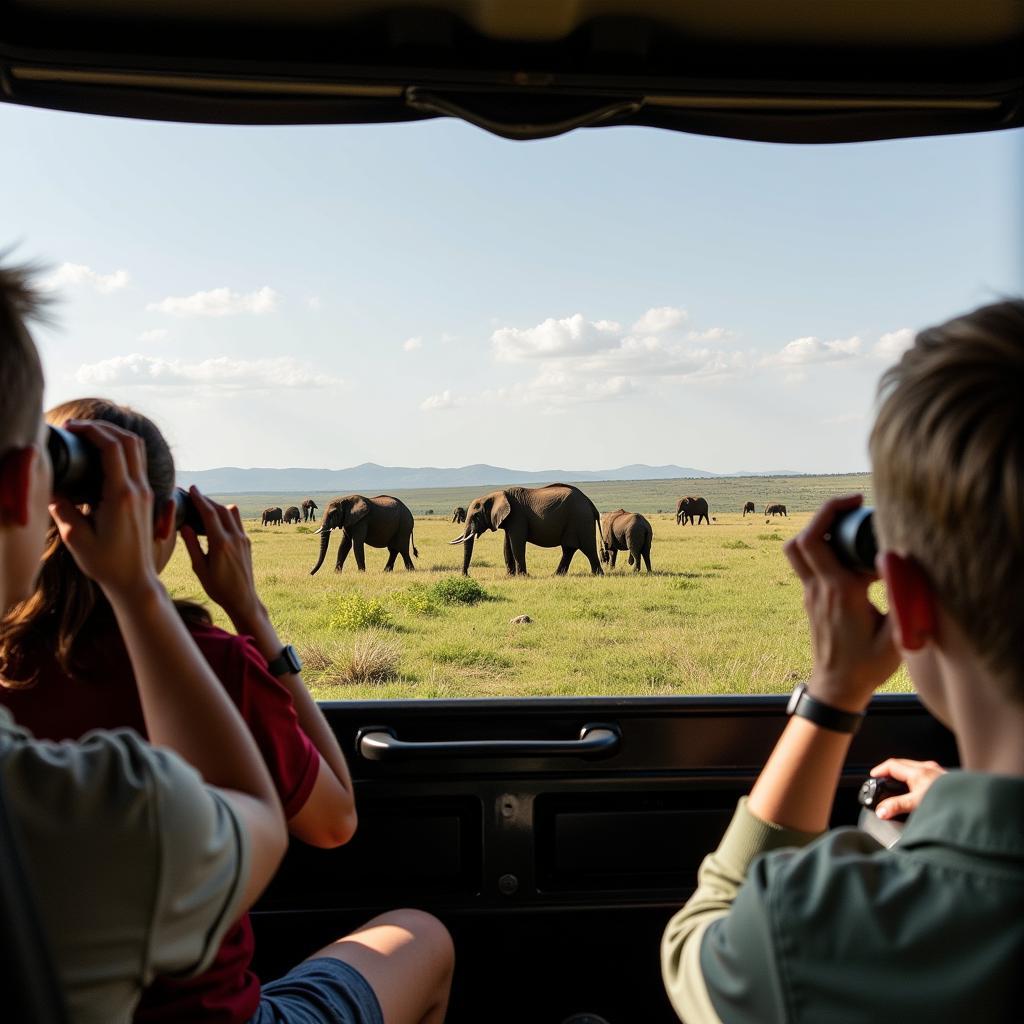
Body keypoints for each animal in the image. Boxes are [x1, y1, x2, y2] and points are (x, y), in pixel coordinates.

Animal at [452, 481, 602, 577]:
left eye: (476, 516)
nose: (466, 575)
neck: (497, 494)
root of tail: (590, 503)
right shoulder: (509, 519)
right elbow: (507, 545)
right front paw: (510, 576)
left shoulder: (517, 517)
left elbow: (516, 544)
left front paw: (522, 576)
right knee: (569, 549)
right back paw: (557, 575)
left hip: (581, 519)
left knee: (588, 548)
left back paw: (597, 575)